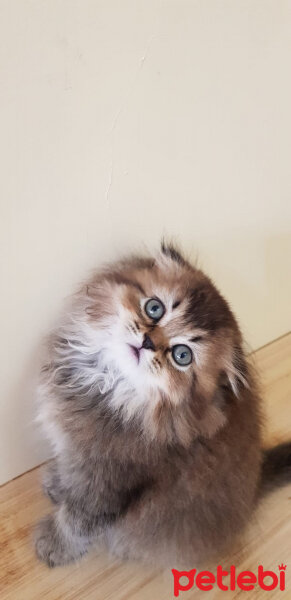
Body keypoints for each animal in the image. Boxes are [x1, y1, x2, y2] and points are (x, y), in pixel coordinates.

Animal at [34, 243, 291, 568]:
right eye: (154, 308)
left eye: (182, 355)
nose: (147, 341)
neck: (108, 386)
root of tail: (256, 483)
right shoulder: (77, 456)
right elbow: (70, 476)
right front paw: (59, 484)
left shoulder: (109, 482)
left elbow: (78, 520)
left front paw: (55, 545)